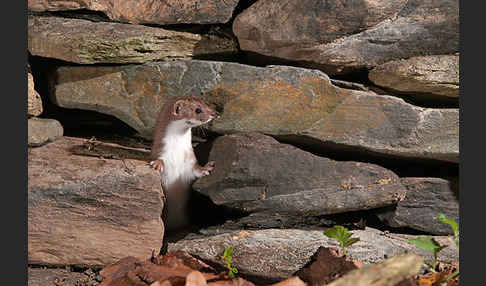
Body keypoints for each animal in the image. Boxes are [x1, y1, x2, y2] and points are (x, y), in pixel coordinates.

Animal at [148, 96, 216, 232]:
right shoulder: (160, 151)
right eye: (198, 110)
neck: (176, 153)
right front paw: (157, 164)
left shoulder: (190, 161)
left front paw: (207, 168)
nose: (214, 113)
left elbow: (196, 170)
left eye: (206, 103)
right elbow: (158, 159)